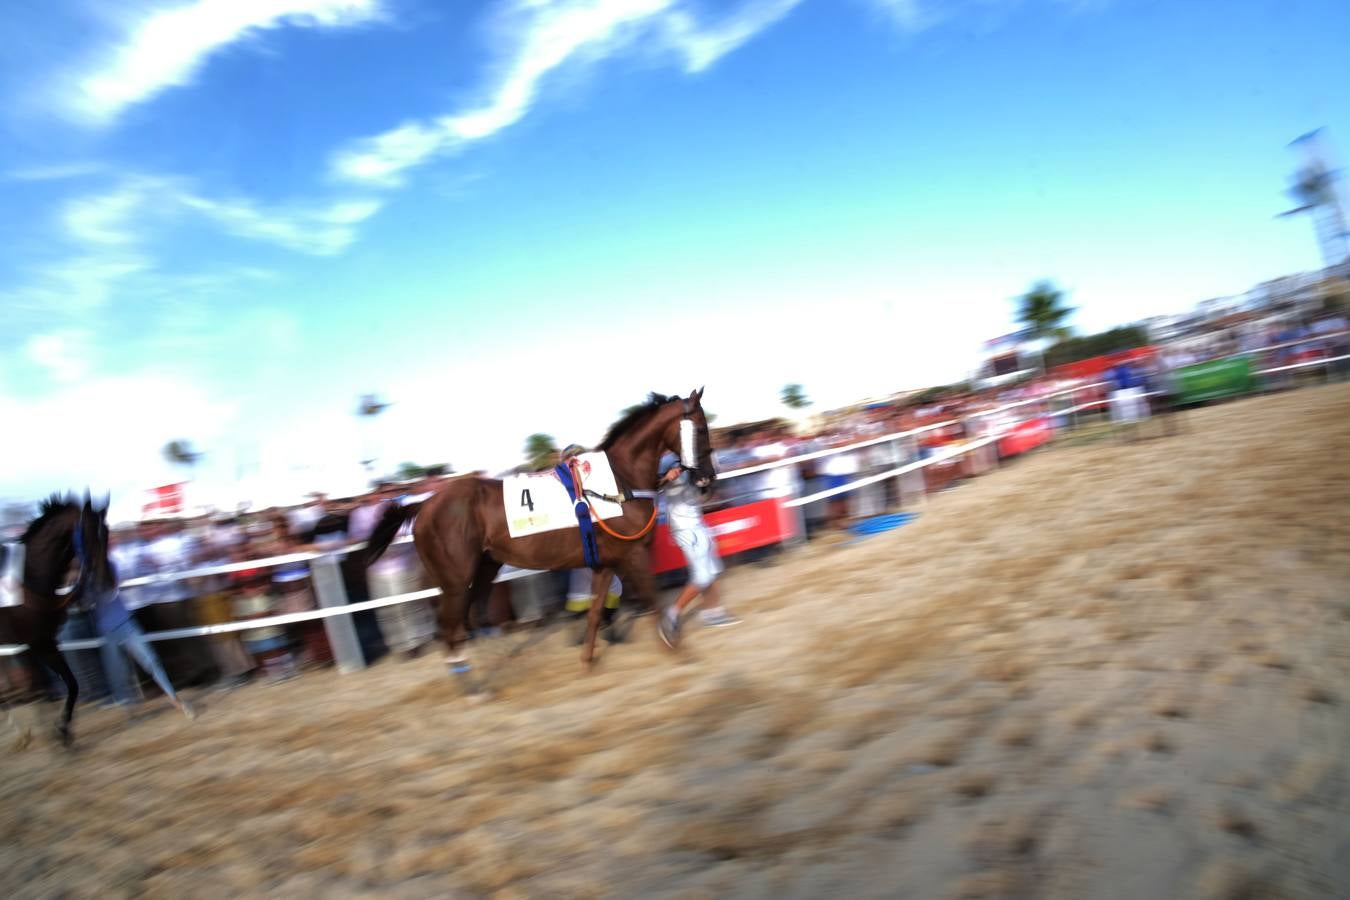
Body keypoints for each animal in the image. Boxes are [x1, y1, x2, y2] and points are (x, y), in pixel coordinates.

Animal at [0, 493, 113, 744]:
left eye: (107, 532)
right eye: (88, 534)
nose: (108, 582)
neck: (30, 578)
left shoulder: (45, 642)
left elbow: (70, 684)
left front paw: (62, 730)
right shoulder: (37, 644)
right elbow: (43, 690)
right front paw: (57, 730)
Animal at [359, 391, 718, 680]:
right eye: (701, 429)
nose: (708, 480)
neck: (618, 483)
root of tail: (424, 505)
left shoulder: (605, 563)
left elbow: (594, 613)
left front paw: (587, 660)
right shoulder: (634, 554)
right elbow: (654, 602)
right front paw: (676, 648)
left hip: (485, 567)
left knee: (470, 617)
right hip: (456, 579)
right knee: (449, 626)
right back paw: (470, 681)